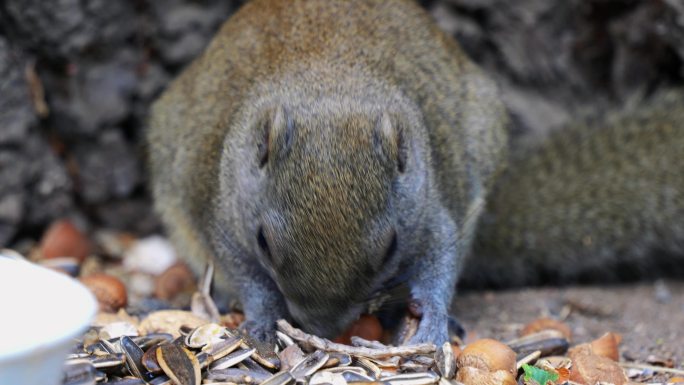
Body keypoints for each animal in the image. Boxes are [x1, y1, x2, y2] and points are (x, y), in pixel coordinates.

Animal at [147, 0, 680, 344]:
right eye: (264, 242)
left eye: (389, 248)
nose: (322, 329)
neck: (328, 80)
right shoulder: (222, 214)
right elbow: (243, 271)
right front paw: (261, 320)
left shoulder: (430, 213)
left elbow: (440, 260)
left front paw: (434, 323)